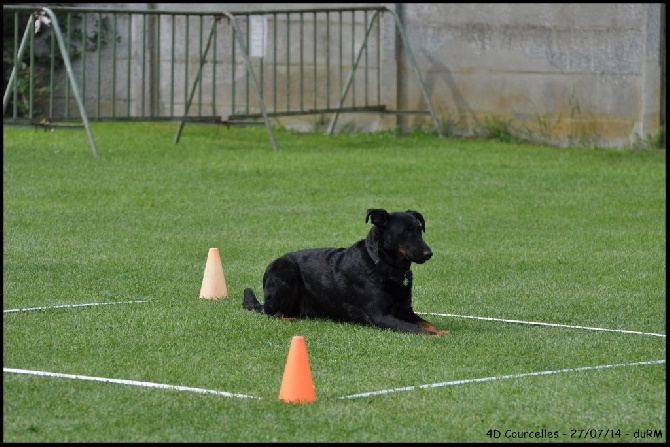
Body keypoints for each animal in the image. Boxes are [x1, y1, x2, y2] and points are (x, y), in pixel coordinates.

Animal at [243, 208, 452, 334]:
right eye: (405, 232)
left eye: (419, 229)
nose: (428, 253)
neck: (382, 266)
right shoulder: (380, 315)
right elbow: (415, 328)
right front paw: (437, 334)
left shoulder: (406, 310)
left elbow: (426, 323)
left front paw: (440, 330)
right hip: (285, 270)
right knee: (271, 313)